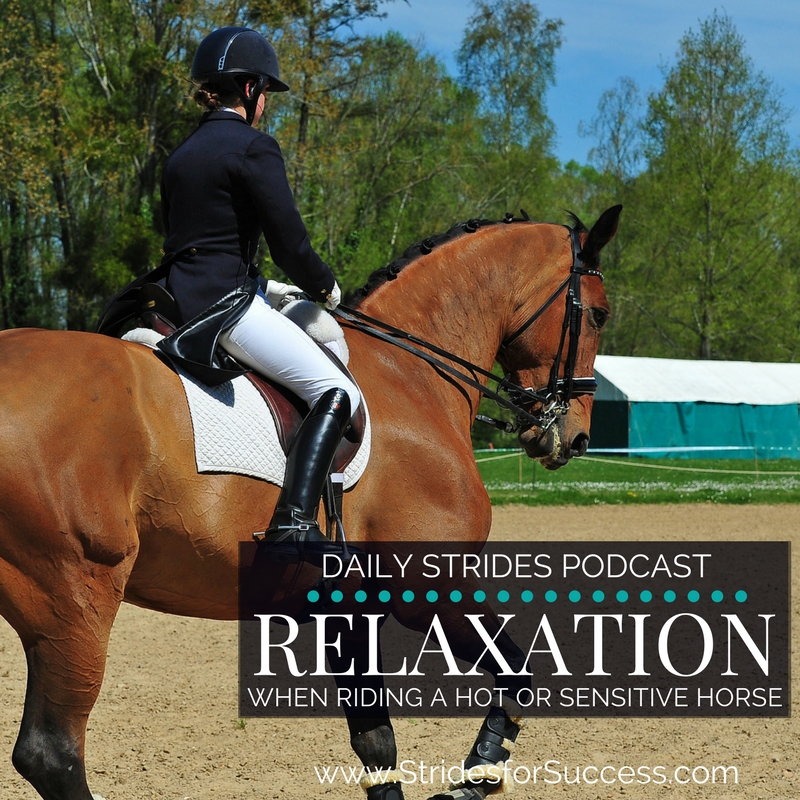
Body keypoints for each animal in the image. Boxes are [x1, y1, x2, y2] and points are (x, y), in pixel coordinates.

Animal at [0, 205, 620, 800]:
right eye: (599, 314)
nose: (575, 438)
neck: (410, 374)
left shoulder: (346, 606)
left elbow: (376, 742)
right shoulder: (428, 588)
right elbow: (519, 676)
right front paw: (475, 776)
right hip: (76, 596)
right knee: (52, 753)